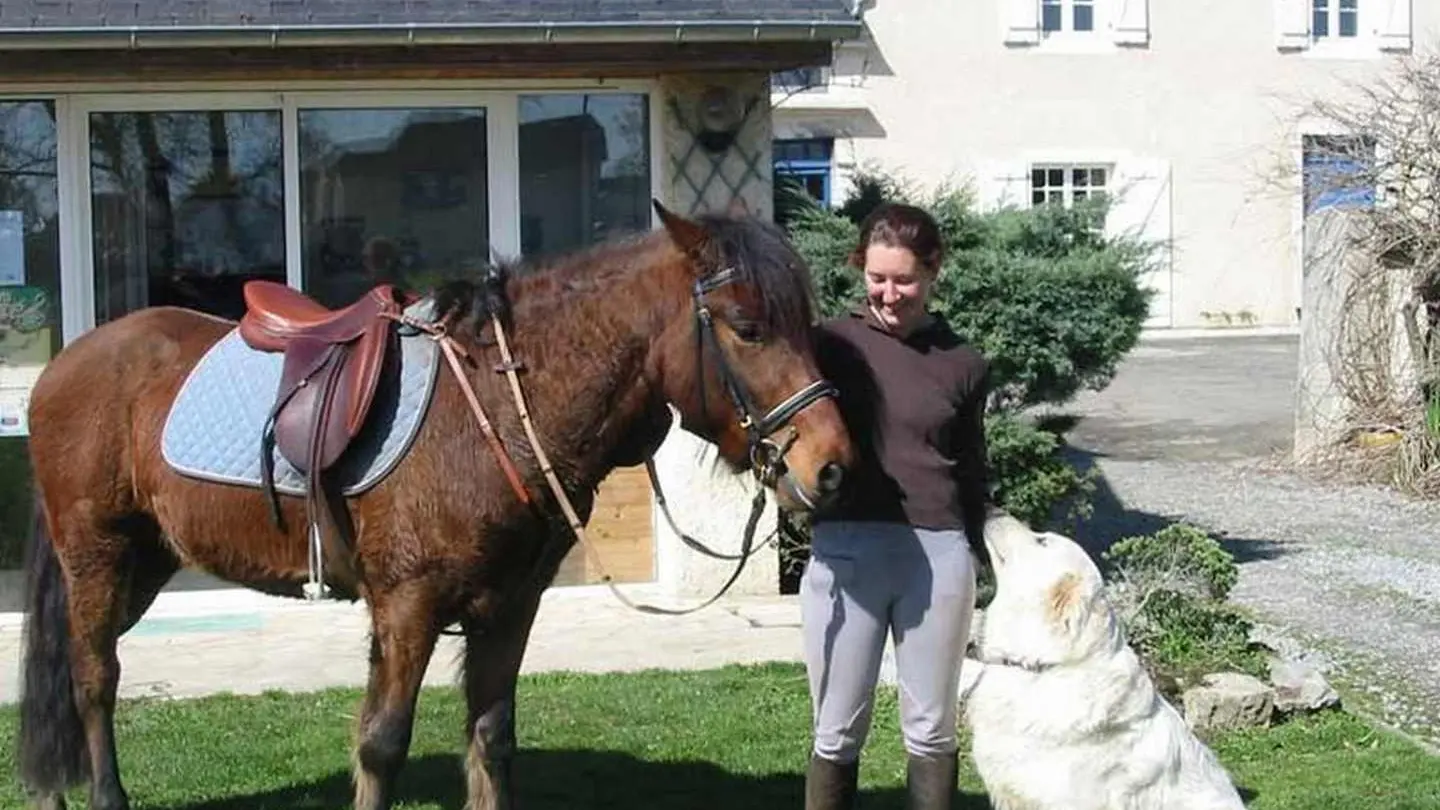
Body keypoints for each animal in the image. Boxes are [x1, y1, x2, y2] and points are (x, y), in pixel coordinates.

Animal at [16, 203, 852, 807]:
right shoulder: (407, 606)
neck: (492, 408)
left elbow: (490, 738)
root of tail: (68, 362)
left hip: (147, 561)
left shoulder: (508, 609)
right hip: (97, 555)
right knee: (94, 677)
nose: (833, 465)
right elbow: (382, 743)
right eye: (747, 327)